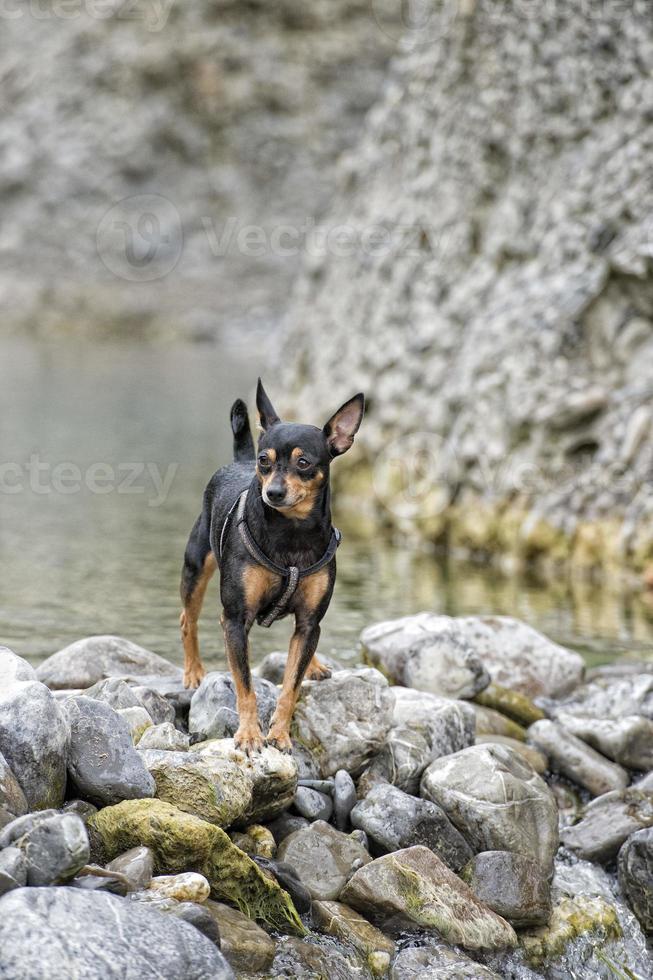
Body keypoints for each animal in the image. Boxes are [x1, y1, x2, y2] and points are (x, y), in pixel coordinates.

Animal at [180, 378, 362, 756]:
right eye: (265, 461)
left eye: (304, 463)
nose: (273, 492)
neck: (292, 534)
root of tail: (240, 459)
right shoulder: (236, 620)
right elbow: (245, 686)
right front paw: (250, 735)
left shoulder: (309, 622)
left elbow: (291, 686)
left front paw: (279, 735)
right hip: (196, 567)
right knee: (187, 619)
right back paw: (192, 671)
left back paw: (315, 663)